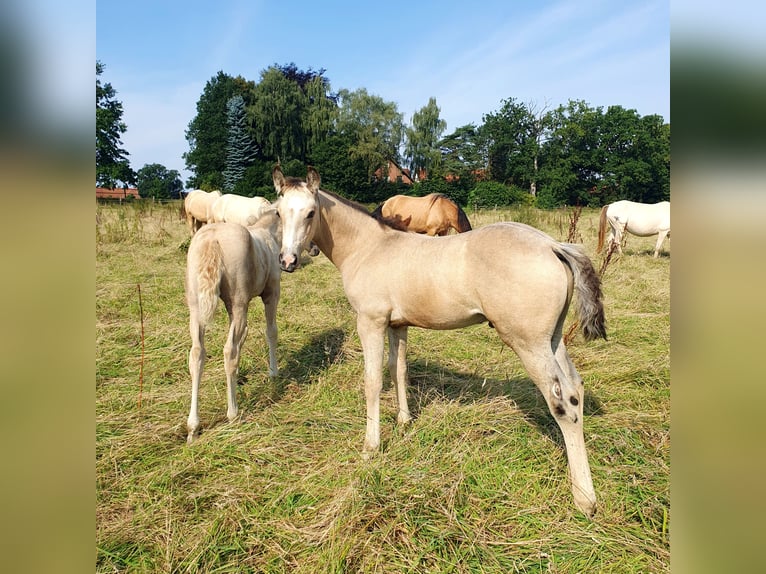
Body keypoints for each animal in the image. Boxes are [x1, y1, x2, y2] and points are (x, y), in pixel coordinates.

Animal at [186, 209, 282, 444]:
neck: (269, 233)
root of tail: (212, 239)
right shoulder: (271, 294)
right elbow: (271, 331)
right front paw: (273, 372)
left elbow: (243, 336)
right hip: (238, 303)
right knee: (229, 351)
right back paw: (233, 414)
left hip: (196, 306)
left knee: (197, 354)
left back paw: (193, 427)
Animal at [272, 165, 608, 516]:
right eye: (278, 212)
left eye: (311, 213)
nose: (288, 261)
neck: (369, 248)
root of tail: (553, 246)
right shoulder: (398, 325)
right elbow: (398, 370)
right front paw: (404, 422)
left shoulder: (371, 322)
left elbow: (373, 381)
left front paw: (370, 447)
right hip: (553, 340)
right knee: (576, 390)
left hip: (530, 345)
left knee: (563, 403)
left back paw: (584, 498)